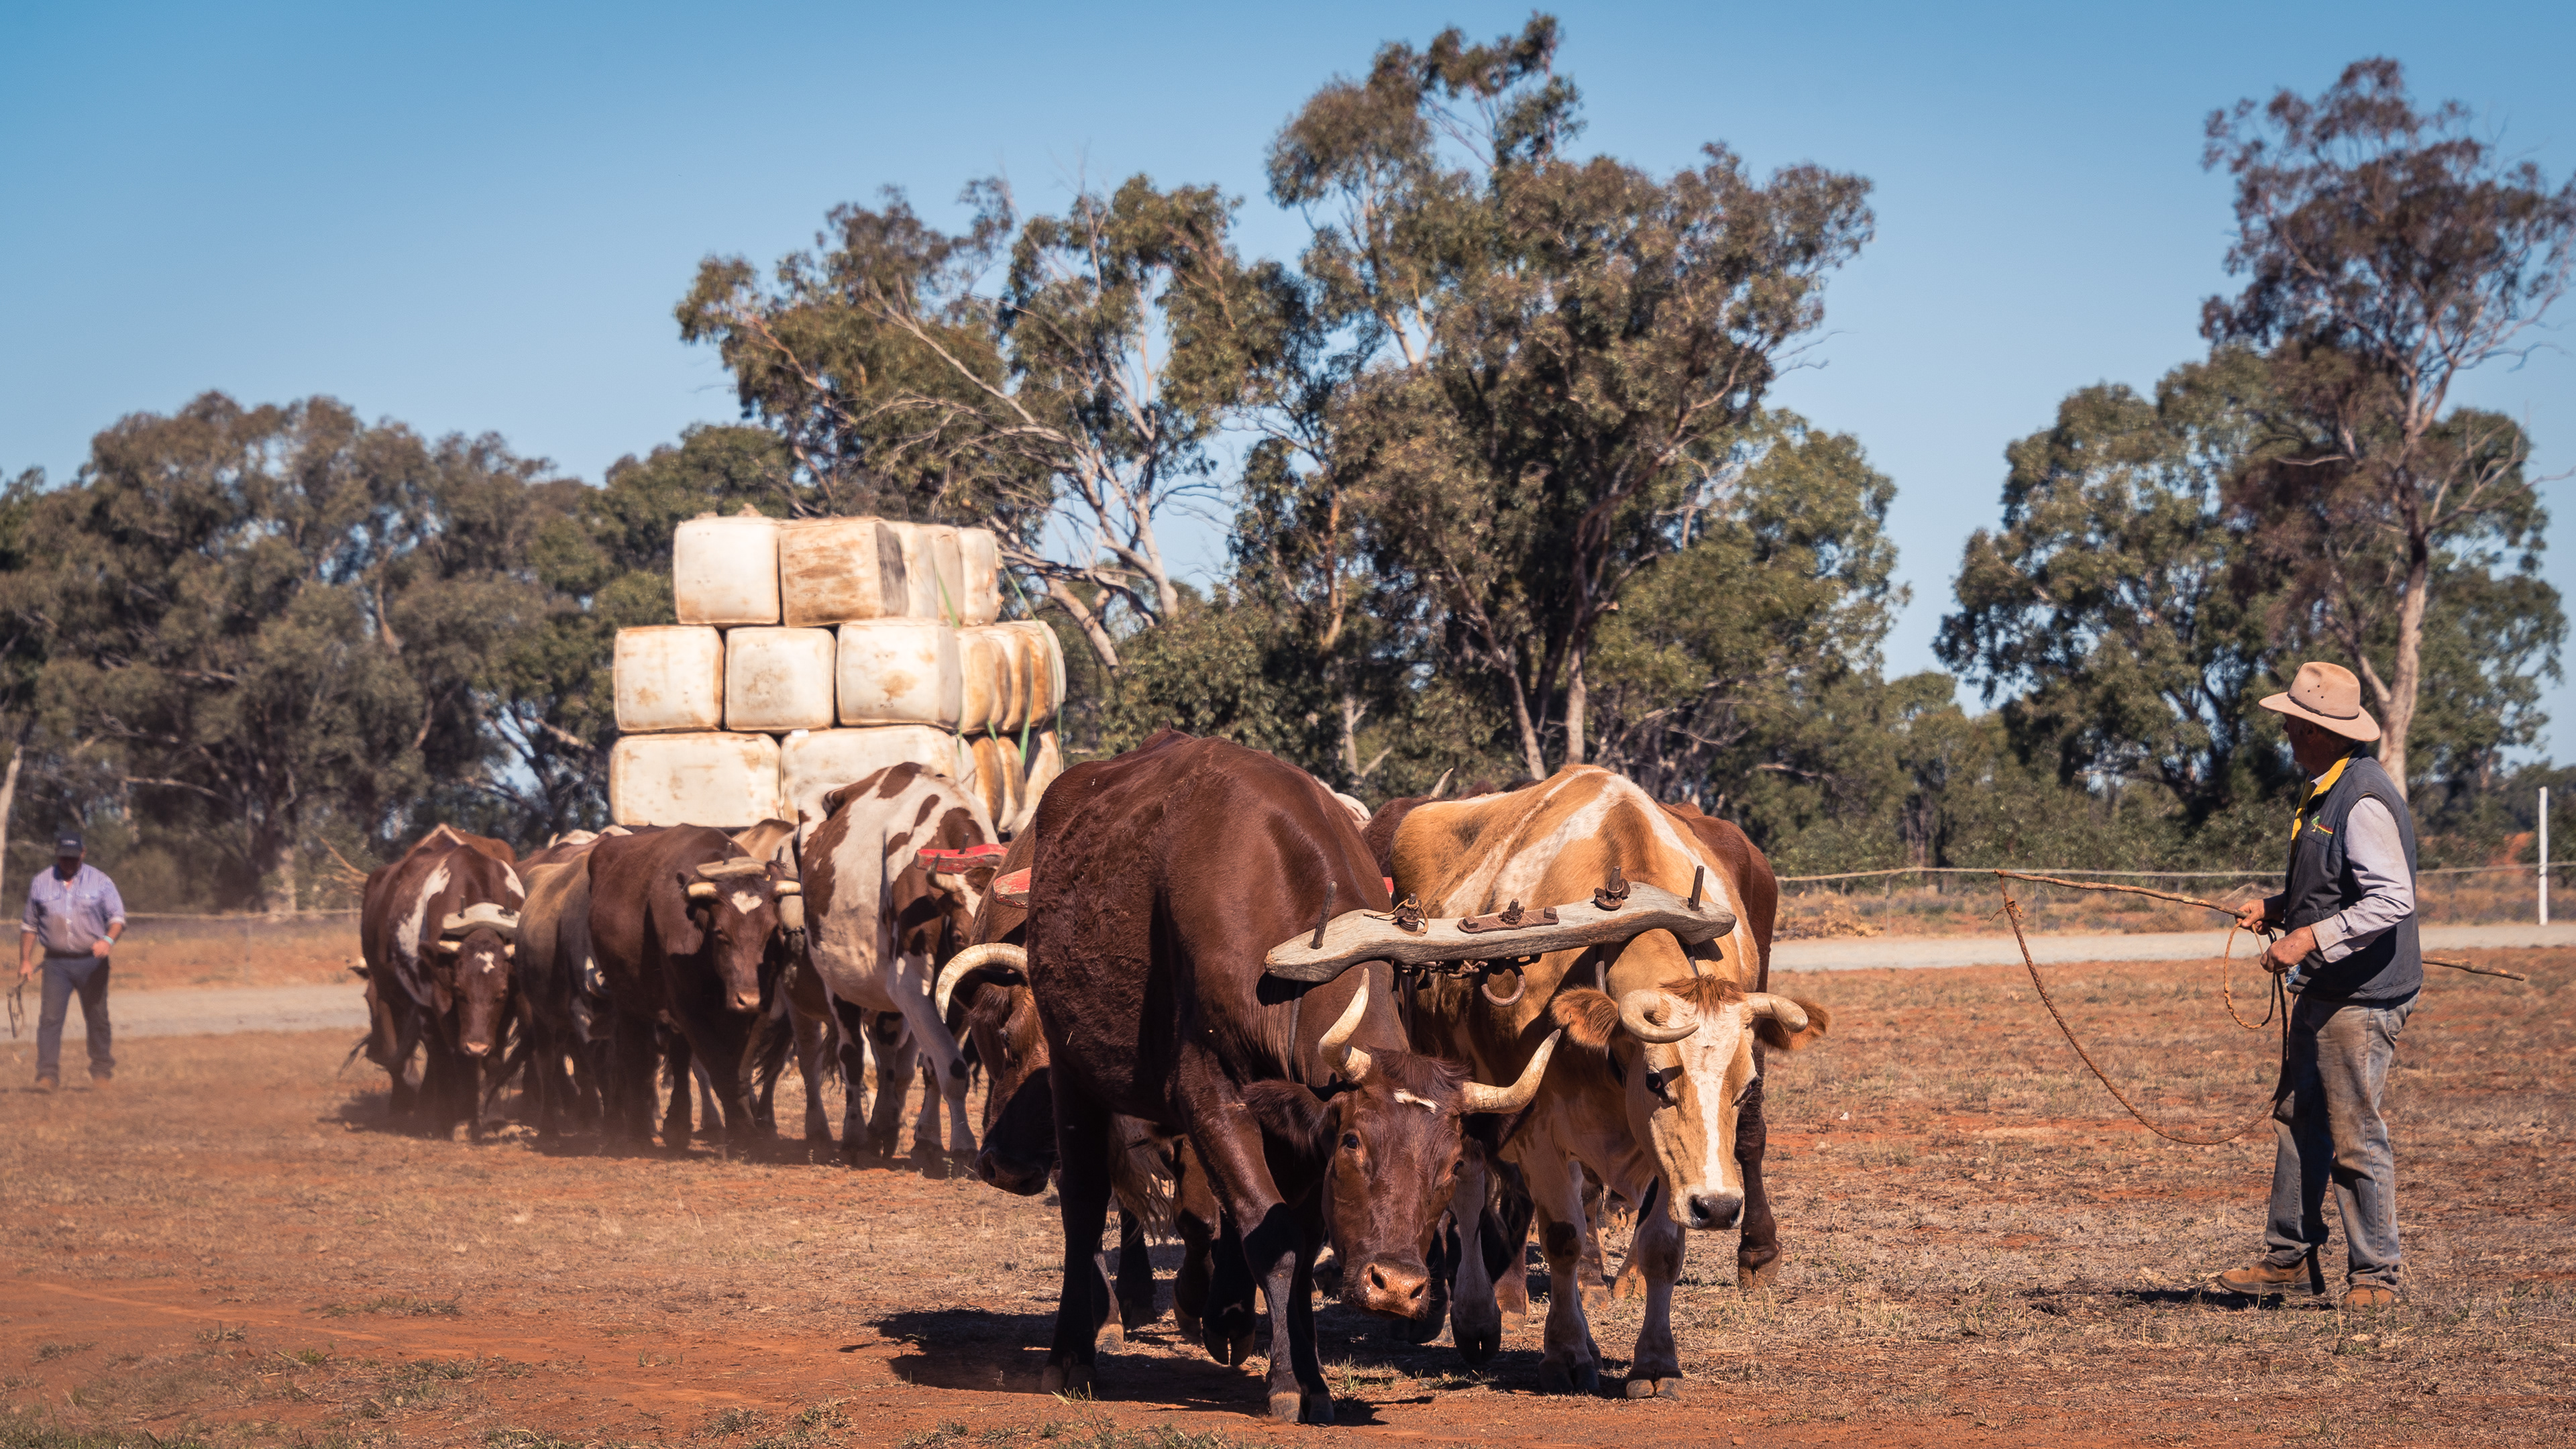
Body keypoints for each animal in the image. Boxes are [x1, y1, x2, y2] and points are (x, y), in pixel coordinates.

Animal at [359, 825, 527, 1137]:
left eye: (500, 992)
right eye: (459, 991)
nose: (476, 1046)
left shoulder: (508, 1004)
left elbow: (494, 1058)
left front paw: (494, 1120)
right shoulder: (440, 1001)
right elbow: (456, 1057)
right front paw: (462, 1117)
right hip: (398, 995)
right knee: (432, 1054)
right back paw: (425, 1109)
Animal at [586, 824, 800, 1153]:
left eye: (771, 931)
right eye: (721, 933)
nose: (747, 999)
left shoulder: (758, 1010)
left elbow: (738, 1071)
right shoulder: (687, 1007)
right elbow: (718, 1068)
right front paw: (744, 1135)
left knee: (677, 1056)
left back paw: (677, 1125)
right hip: (629, 1001)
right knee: (636, 1055)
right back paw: (639, 1131)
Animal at [794, 762, 995, 1167]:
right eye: (961, 935)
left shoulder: (952, 1003)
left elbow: (933, 1069)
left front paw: (928, 1140)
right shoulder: (911, 989)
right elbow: (953, 1070)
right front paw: (964, 1144)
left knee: (889, 1057)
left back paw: (884, 1125)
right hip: (840, 987)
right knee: (853, 1058)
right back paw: (856, 1135)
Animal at [997, 732, 1663, 1424]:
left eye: (1453, 1164)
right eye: (1353, 1143)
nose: (1398, 1287)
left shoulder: (1300, 1134)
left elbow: (1292, 1237)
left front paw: (1309, 1377)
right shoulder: (1211, 1100)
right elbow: (1276, 1239)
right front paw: (1289, 1381)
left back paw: (1226, 1320)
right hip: (1073, 1071)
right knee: (1083, 1203)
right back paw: (1072, 1354)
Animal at [1387, 765, 1829, 1399]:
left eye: (1744, 1088)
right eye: (1657, 1080)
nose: (1720, 1208)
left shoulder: (1669, 1157)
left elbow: (1662, 1248)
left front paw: (1656, 1362)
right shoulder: (1539, 1132)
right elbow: (1563, 1237)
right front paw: (1567, 1353)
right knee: (1469, 1187)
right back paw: (1477, 1319)